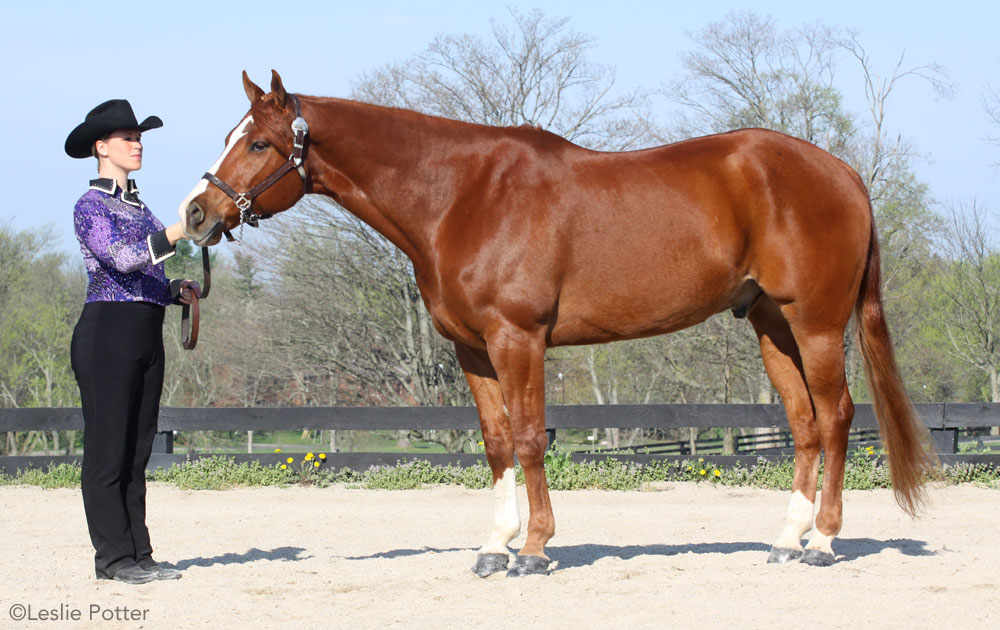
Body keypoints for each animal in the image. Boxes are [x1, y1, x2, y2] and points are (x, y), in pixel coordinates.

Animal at [180, 69, 936, 576]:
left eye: (257, 144)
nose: (194, 215)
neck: (462, 196)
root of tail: (842, 173)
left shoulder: (520, 339)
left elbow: (528, 438)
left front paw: (536, 549)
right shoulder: (473, 350)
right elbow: (494, 443)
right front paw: (493, 547)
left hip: (816, 324)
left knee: (836, 417)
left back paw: (825, 542)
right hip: (772, 326)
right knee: (804, 424)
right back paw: (786, 540)